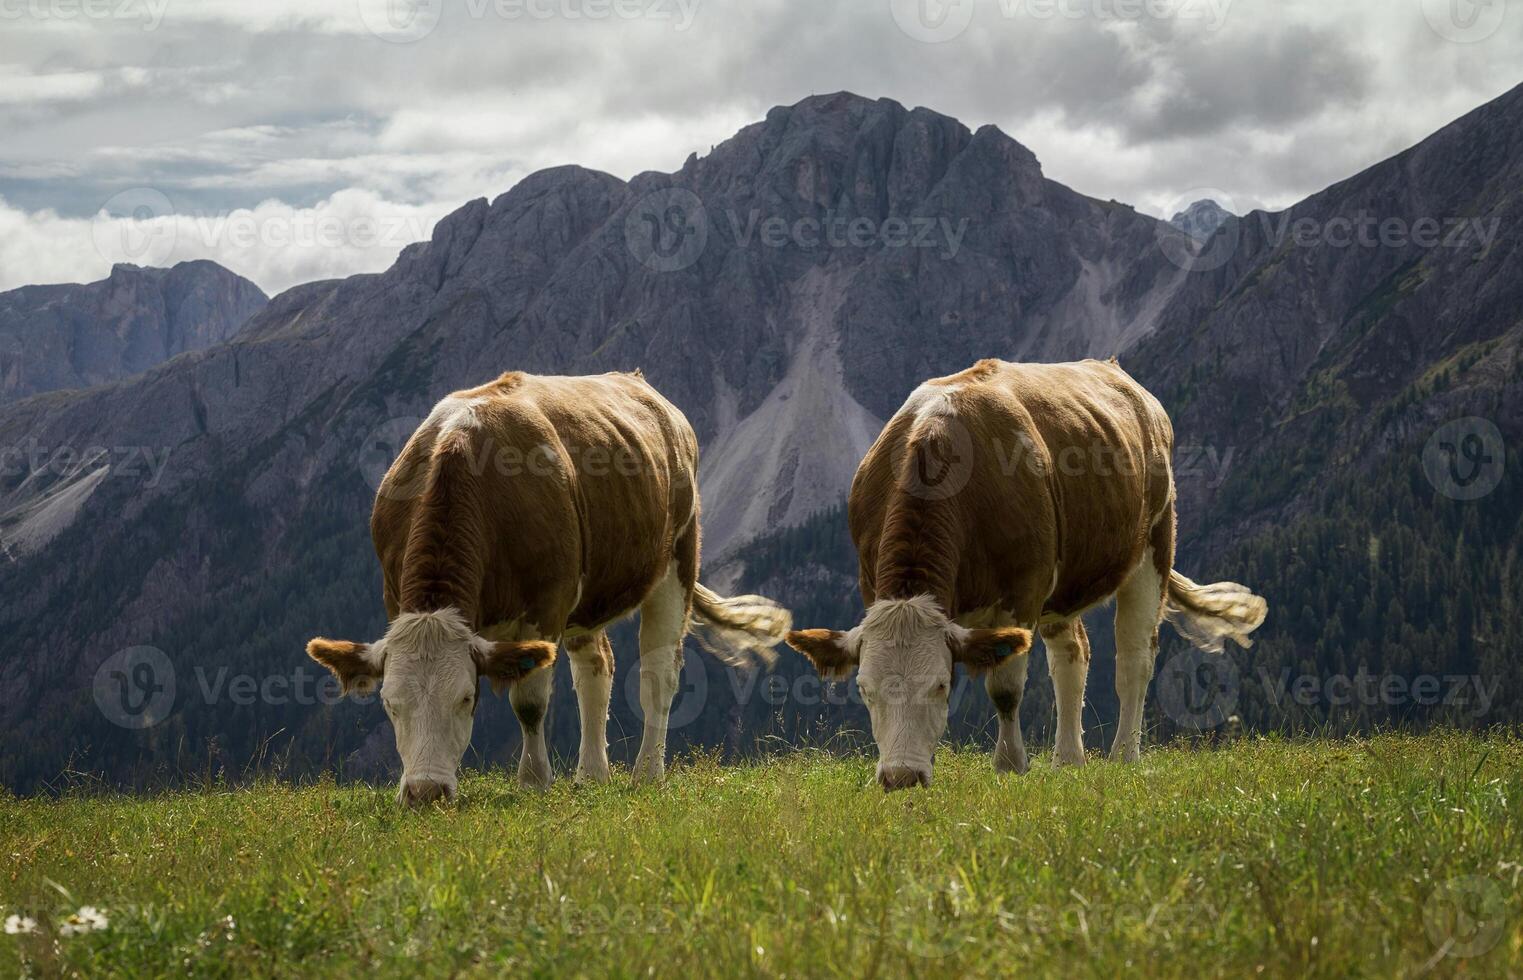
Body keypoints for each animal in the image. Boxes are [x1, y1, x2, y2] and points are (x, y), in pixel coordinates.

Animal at [304, 371, 791, 810]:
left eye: (466, 699)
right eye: (390, 704)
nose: (425, 794)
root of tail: (640, 384)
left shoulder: (546, 605)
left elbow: (529, 702)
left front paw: (534, 780)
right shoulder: (393, 595)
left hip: (676, 563)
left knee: (658, 674)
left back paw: (647, 773)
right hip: (588, 600)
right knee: (596, 668)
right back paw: (592, 774)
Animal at [779, 359, 1267, 792]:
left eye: (941, 686)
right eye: (865, 690)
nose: (901, 778)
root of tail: (1119, 374)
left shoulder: (1023, 592)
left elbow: (1006, 689)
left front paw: (1011, 765)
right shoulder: (871, 584)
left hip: (1153, 547)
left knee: (1134, 659)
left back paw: (1123, 755)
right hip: (1064, 587)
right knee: (1073, 655)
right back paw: (1068, 759)